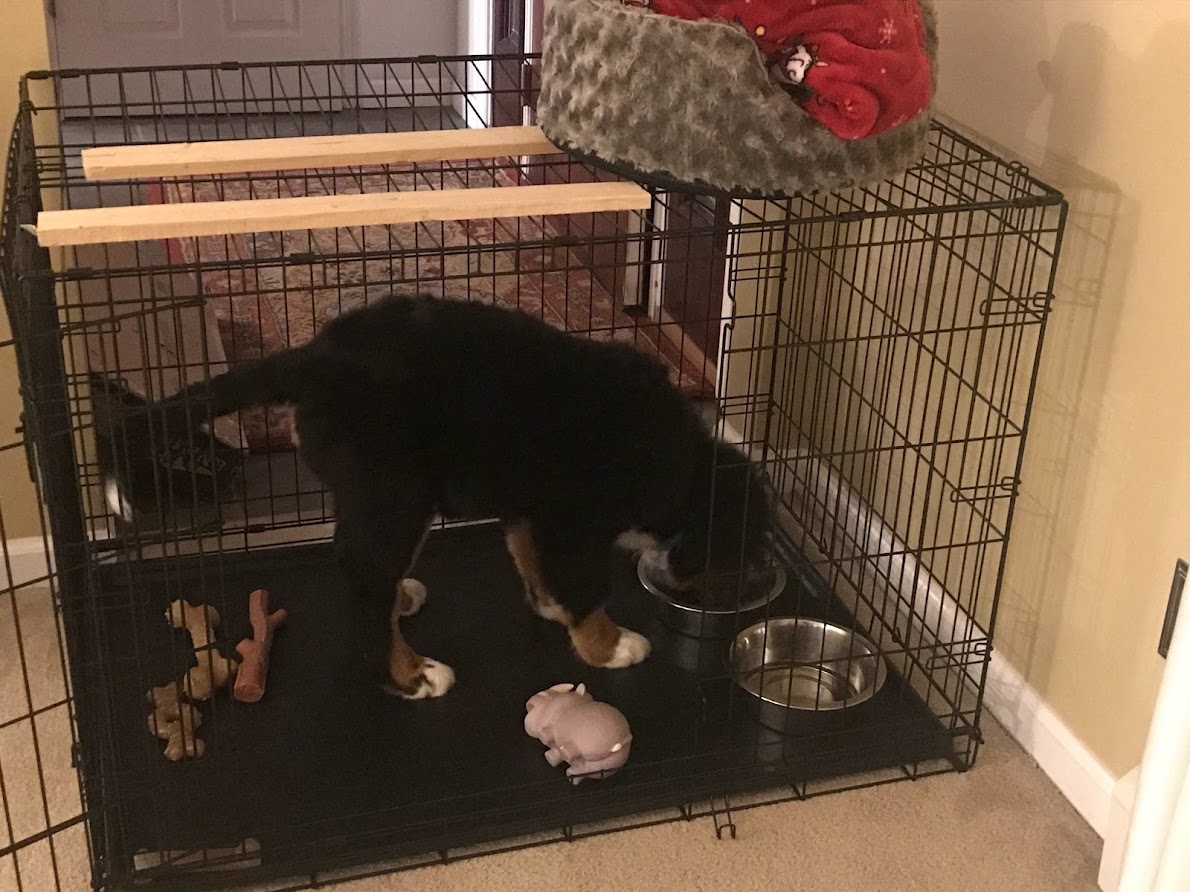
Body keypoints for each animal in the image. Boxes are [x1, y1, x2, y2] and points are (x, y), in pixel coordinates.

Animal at [153, 293, 771, 699]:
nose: (739, 593)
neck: (678, 459)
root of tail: (315, 357)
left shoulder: (530, 511)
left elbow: (532, 562)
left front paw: (551, 606)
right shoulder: (572, 525)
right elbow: (587, 588)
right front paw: (609, 645)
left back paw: (403, 602)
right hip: (397, 498)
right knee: (365, 590)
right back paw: (409, 675)